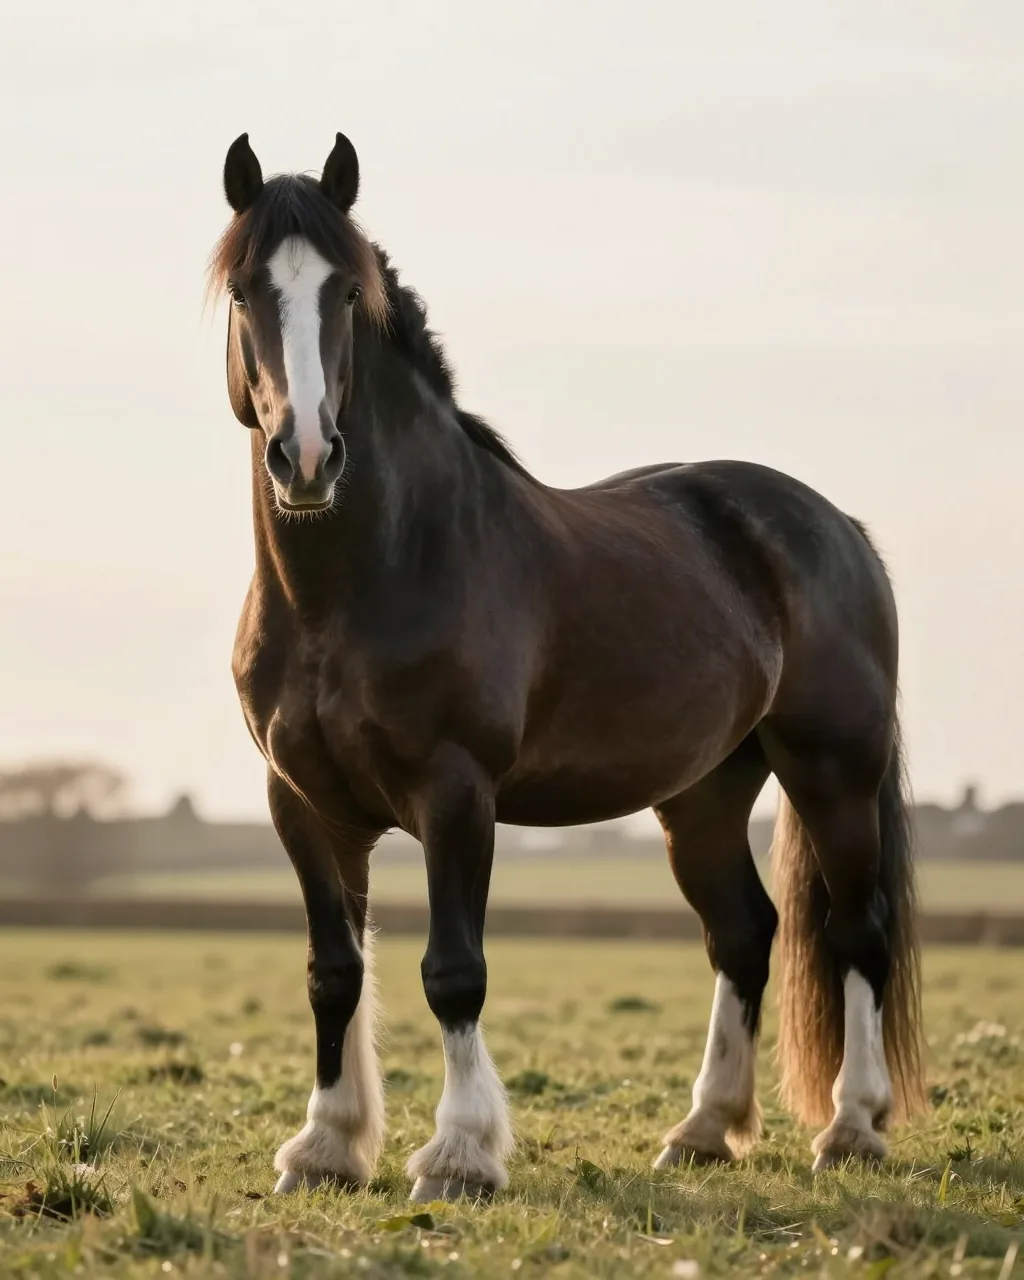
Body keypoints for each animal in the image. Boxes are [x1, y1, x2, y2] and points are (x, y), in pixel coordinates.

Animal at [208, 132, 924, 1203]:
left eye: (347, 292)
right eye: (245, 287)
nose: (307, 456)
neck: (371, 578)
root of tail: (836, 526)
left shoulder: (456, 792)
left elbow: (453, 970)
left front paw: (460, 1154)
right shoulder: (302, 801)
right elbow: (333, 971)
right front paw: (327, 1146)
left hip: (832, 772)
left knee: (856, 931)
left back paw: (851, 1129)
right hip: (704, 792)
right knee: (743, 934)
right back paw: (703, 1129)